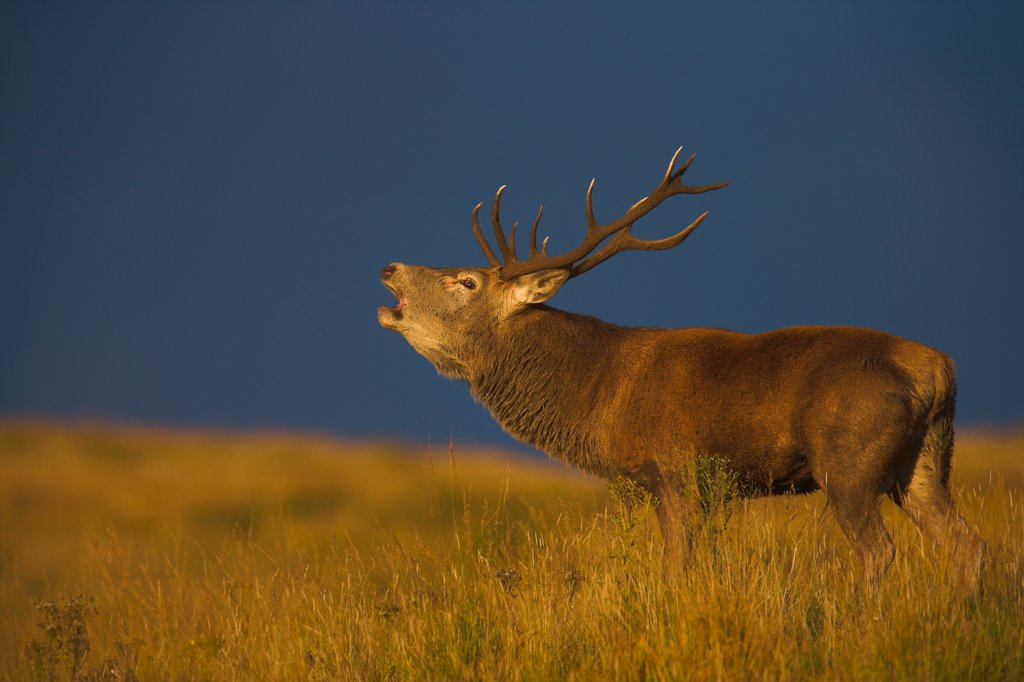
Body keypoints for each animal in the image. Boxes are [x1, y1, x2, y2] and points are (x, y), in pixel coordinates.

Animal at [377, 147, 986, 590]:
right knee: (968, 544)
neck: (596, 397)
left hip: (849, 460)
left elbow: (677, 570)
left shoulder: (674, 472)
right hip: (924, 463)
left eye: (466, 281)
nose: (389, 268)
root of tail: (937, 371)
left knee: (879, 552)